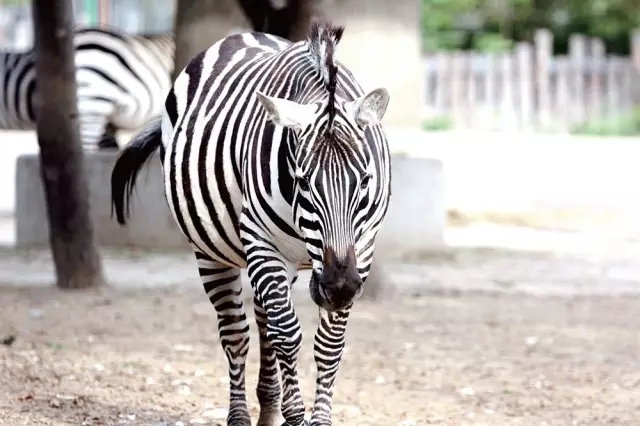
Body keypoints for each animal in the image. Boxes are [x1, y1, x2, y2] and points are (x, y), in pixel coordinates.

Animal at [110, 17, 390, 426]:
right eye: (303, 181)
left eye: (366, 179)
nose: (339, 288)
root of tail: (245, 34)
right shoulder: (261, 241)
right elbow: (287, 333)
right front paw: (296, 414)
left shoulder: (363, 246)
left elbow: (328, 343)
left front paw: (315, 416)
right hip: (215, 253)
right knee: (236, 332)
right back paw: (242, 415)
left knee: (263, 323)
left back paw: (268, 408)